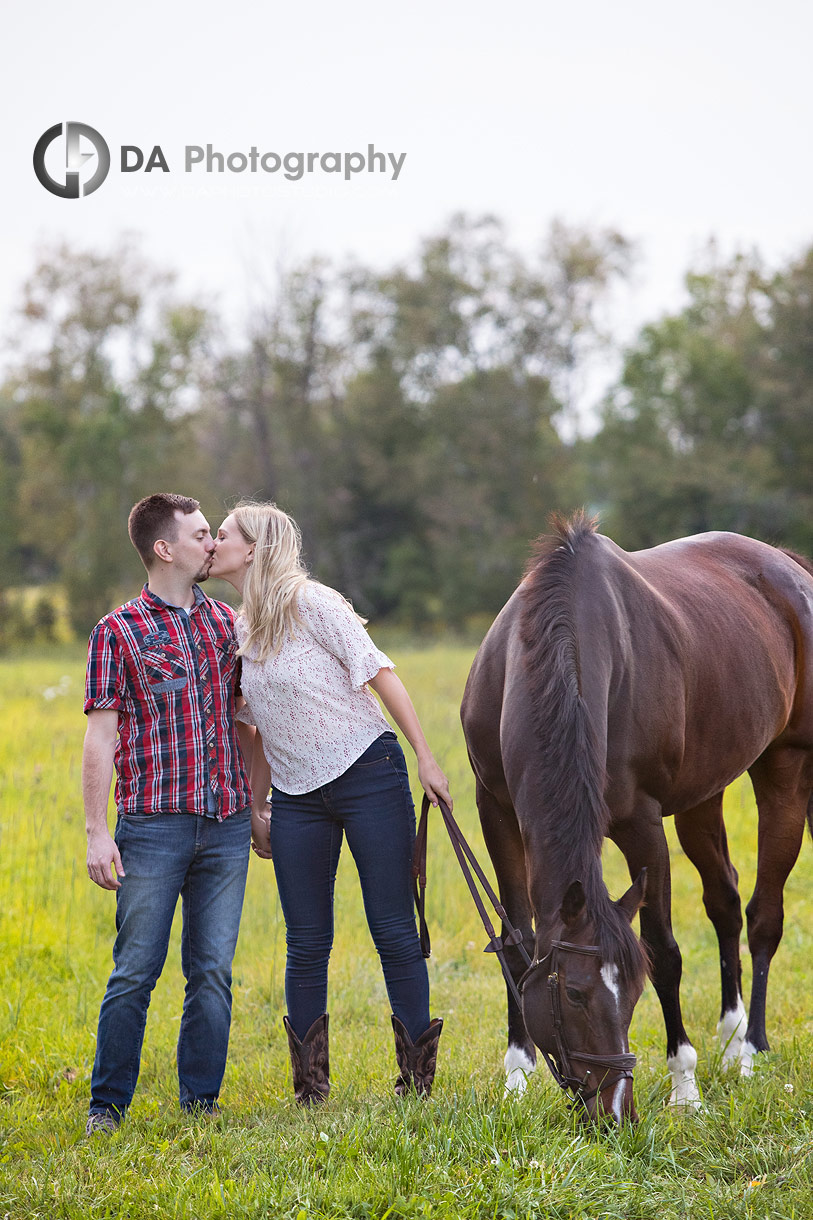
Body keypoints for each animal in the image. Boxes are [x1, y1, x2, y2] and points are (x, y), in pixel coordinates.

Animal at [458, 509, 810, 1117]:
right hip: (702, 795)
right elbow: (516, 942)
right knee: (725, 901)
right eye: (575, 993)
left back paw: (751, 1051)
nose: (614, 1110)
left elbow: (665, 951)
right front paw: (517, 1078)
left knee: (764, 915)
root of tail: (788, 565)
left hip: (783, 769)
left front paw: (684, 1088)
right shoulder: (495, 809)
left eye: (635, 992)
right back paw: (731, 1036)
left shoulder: (641, 825)